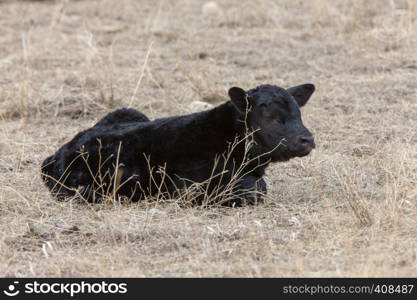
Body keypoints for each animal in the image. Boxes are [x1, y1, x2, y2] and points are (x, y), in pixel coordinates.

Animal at [42, 84, 316, 206]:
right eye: (271, 117)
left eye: (298, 113)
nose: (308, 139)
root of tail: (55, 156)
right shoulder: (189, 188)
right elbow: (258, 188)